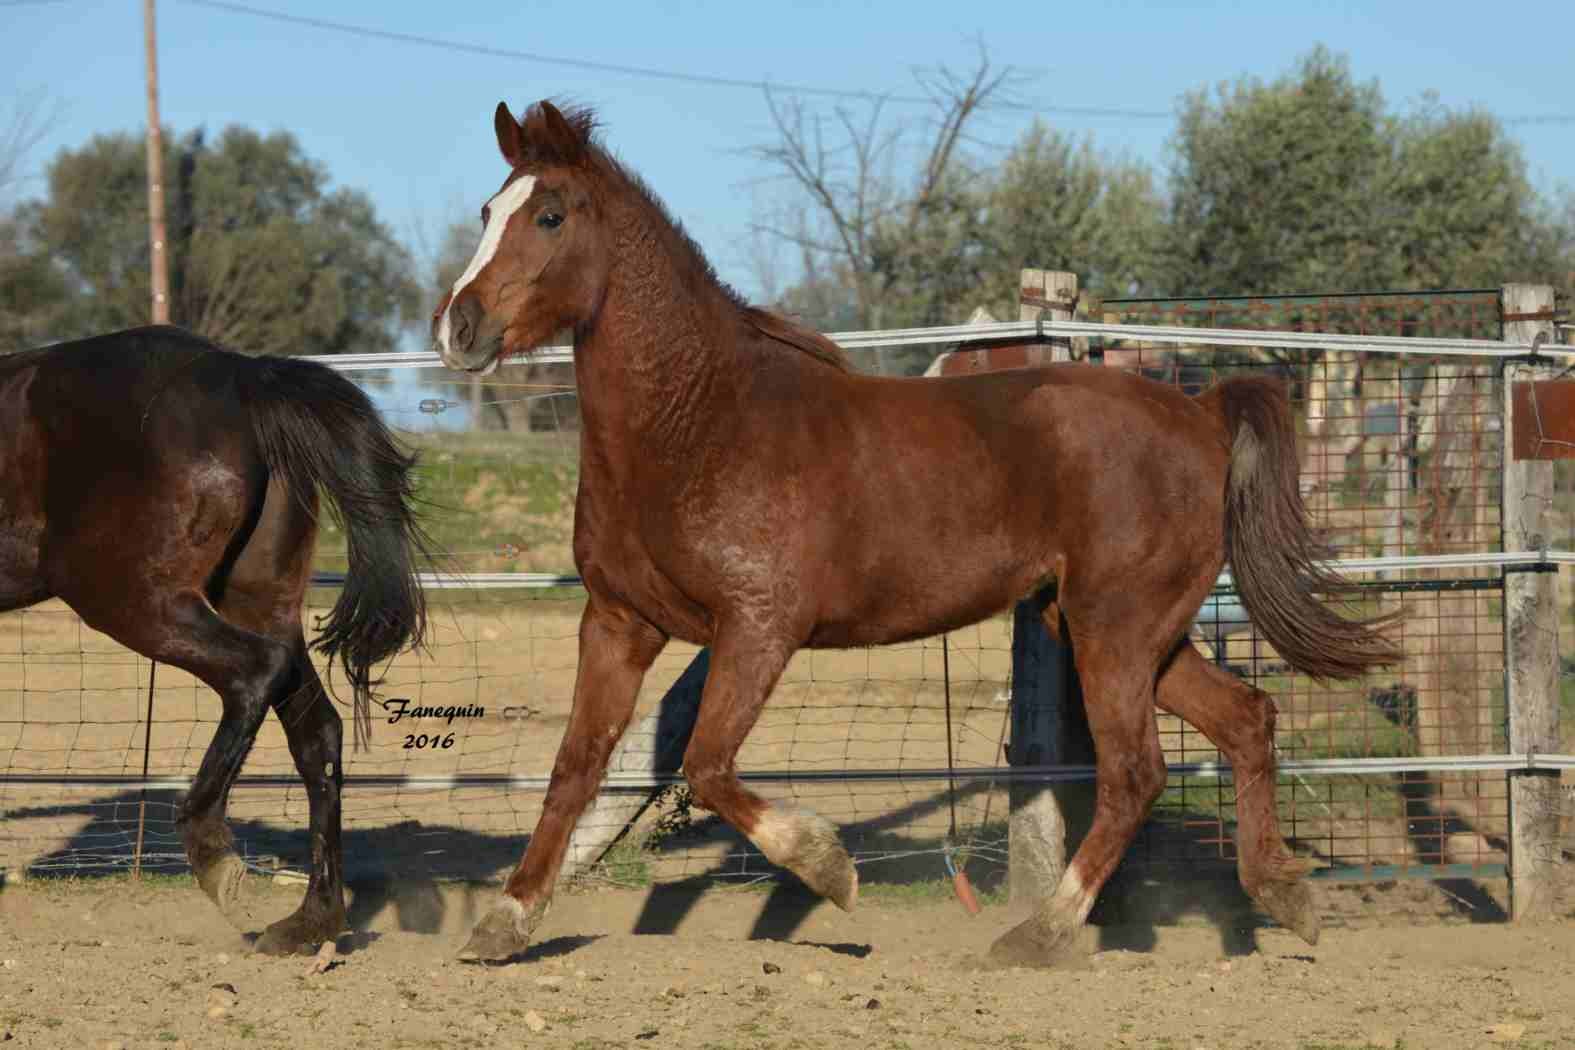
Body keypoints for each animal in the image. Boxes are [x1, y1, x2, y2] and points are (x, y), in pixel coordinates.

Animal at [0, 330, 431, 963]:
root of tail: (245, 377)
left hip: (133, 599)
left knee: (256, 673)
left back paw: (213, 851)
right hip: (259, 602)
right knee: (317, 731)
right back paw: (309, 922)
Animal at [428, 100, 1392, 969]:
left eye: (549, 214)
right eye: (486, 211)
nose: (457, 329)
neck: (696, 424)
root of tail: (1199, 412)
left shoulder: (758, 628)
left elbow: (704, 764)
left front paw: (830, 868)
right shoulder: (618, 623)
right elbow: (574, 766)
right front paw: (503, 924)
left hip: (1114, 628)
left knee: (1134, 773)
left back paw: (1034, 937)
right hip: (1118, 627)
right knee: (1245, 720)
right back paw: (1282, 897)